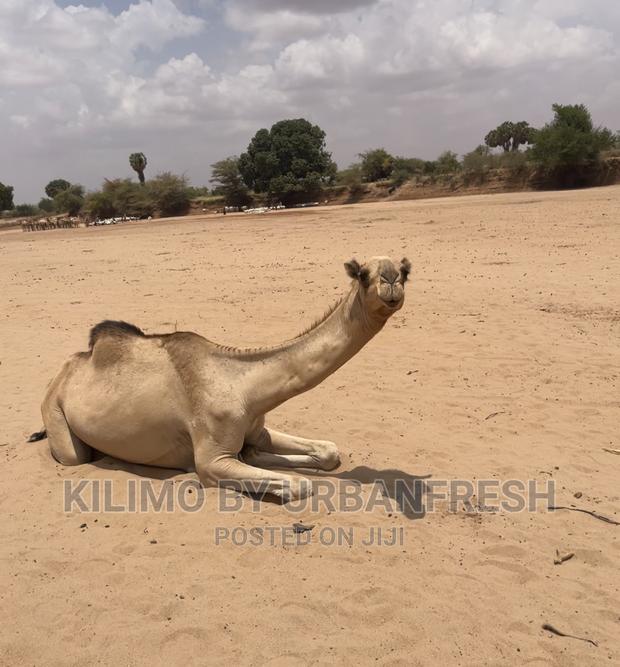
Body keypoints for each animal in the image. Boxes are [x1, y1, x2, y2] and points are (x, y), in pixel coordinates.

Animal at [31, 256, 411, 501]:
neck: (243, 386)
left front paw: (261, 456)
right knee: (74, 455)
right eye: (363, 274)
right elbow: (299, 485)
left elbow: (328, 452)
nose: (391, 280)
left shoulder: (256, 428)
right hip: (55, 415)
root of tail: (62, 373)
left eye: (406, 272)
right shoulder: (212, 461)